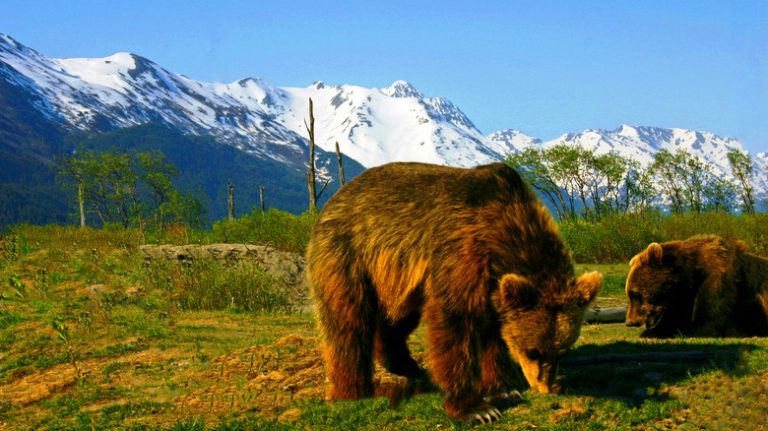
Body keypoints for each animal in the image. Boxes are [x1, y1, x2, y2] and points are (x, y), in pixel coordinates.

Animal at [306, 162, 600, 422]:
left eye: (562, 351)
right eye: (533, 351)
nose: (546, 388)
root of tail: (334, 199)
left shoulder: (492, 287)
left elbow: (493, 334)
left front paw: (503, 387)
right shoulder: (461, 253)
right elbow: (454, 324)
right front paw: (476, 409)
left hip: (398, 280)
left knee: (397, 320)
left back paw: (407, 365)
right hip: (348, 255)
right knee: (348, 322)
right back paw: (354, 390)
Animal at [628, 235, 764, 340]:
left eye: (635, 294)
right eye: (630, 293)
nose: (630, 321)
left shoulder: (718, 280)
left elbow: (709, 320)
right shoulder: (684, 296)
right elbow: (674, 318)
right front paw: (650, 332)